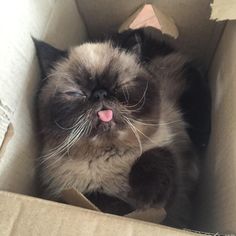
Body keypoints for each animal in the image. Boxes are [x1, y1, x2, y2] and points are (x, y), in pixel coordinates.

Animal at [32, 28, 210, 228]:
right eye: (76, 93)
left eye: (119, 85)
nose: (100, 94)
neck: (108, 155)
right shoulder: (63, 194)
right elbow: (100, 200)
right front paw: (125, 207)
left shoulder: (167, 205)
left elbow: (157, 155)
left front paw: (145, 198)